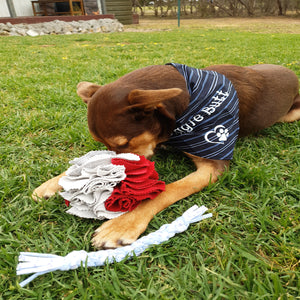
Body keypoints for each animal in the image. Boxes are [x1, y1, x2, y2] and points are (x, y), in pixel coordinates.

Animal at [32, 63, 300, 248]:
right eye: (102, 144)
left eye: (124, 143)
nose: (113, 180)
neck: (187, 103)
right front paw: (55, 182)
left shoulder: (213, 164)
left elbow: (168, 190)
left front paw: (122, 225)